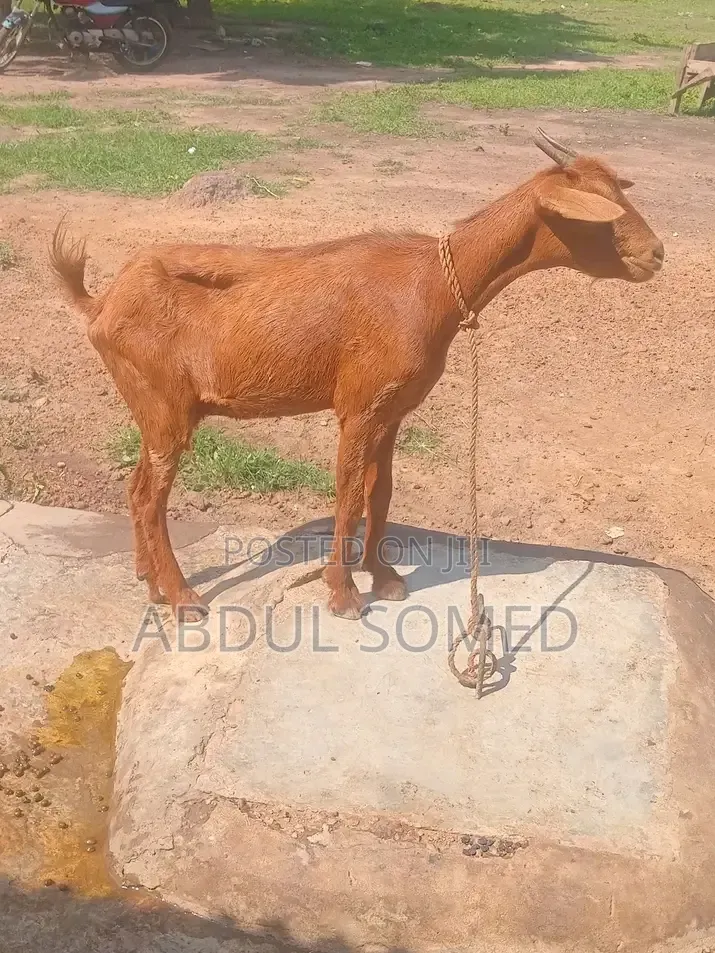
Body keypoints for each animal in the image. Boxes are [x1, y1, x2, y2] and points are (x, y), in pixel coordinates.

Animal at [50, 130, 664, 622]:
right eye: (601, 210)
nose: (657, 253)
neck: (431, 286)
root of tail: (101, 301)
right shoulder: (359, 406)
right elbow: (346, 495)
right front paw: (343, 594)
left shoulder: (392, 411)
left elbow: (380, 491)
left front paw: (384, 576)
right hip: (167, 407)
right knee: (150, 497)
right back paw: (182, 599)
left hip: (150, 408)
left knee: (134, 488)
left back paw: (148, 580)